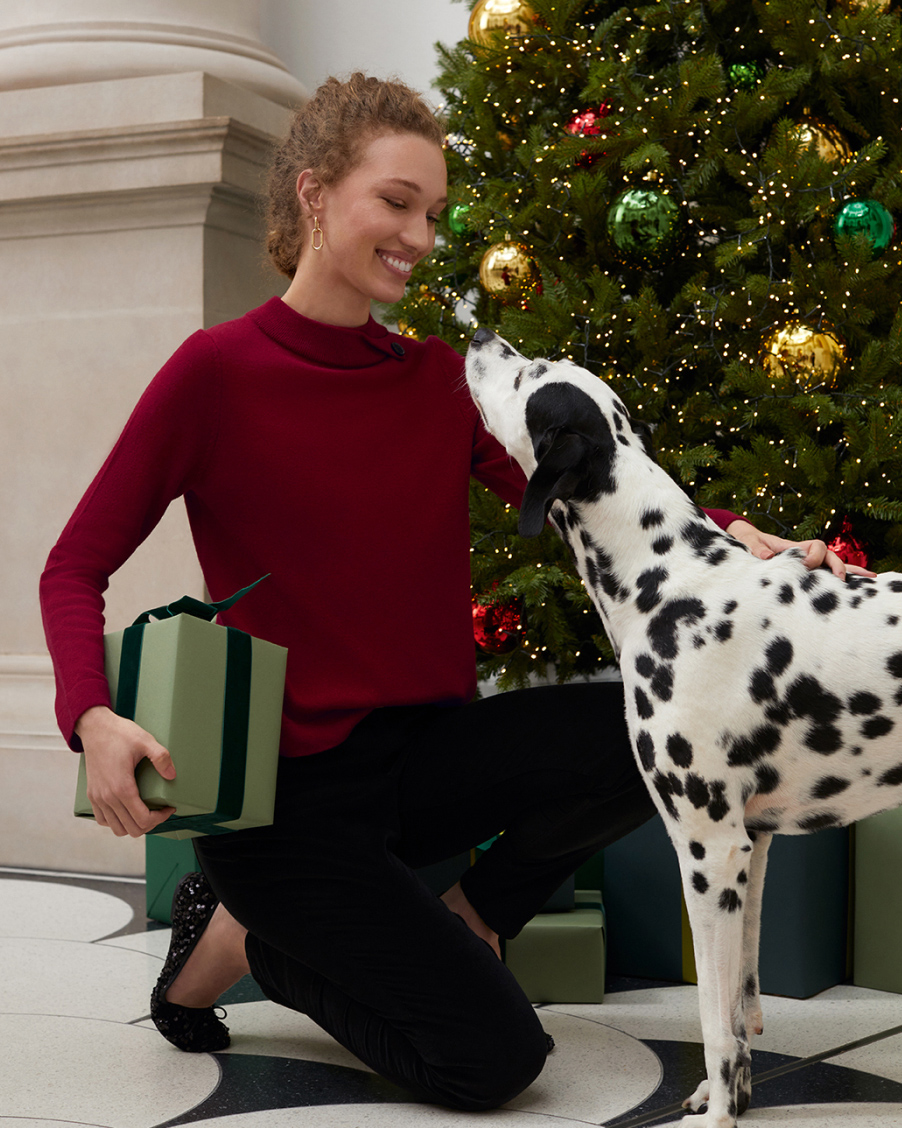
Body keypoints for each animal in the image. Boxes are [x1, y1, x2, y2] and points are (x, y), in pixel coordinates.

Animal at [464, 322, 902, 1123]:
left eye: (530, 374)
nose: (480, 332)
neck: (670, 584)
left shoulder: (709, 851)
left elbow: (713, 1020)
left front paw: (723, 1111)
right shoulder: (751, 848)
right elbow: (736, 1010)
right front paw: (724, 1096)